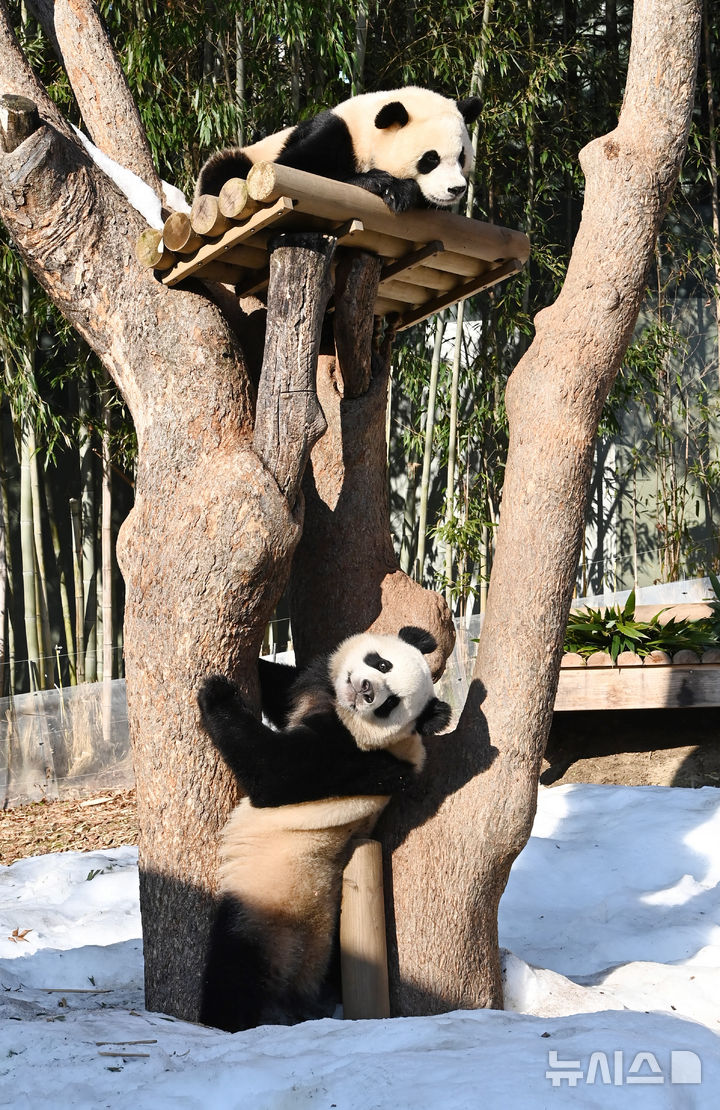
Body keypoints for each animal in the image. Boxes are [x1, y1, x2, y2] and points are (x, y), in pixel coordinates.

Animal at [194, 86, 479, 214]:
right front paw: (380, 181)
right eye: (431, 159)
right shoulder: (334, 132)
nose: (456, 189)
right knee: (226, 170)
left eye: (462, 157)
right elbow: (296, 168)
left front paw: (402, 192)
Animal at [194, 626, 445, 1030]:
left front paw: (216, 692)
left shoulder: (349, 757)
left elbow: (273, 772)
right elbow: (283, 687)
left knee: (235, 969)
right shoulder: (317, 696)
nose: (366, 691)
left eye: (390, 704)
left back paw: (222, 1022)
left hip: (271, 910)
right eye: (382, 664)